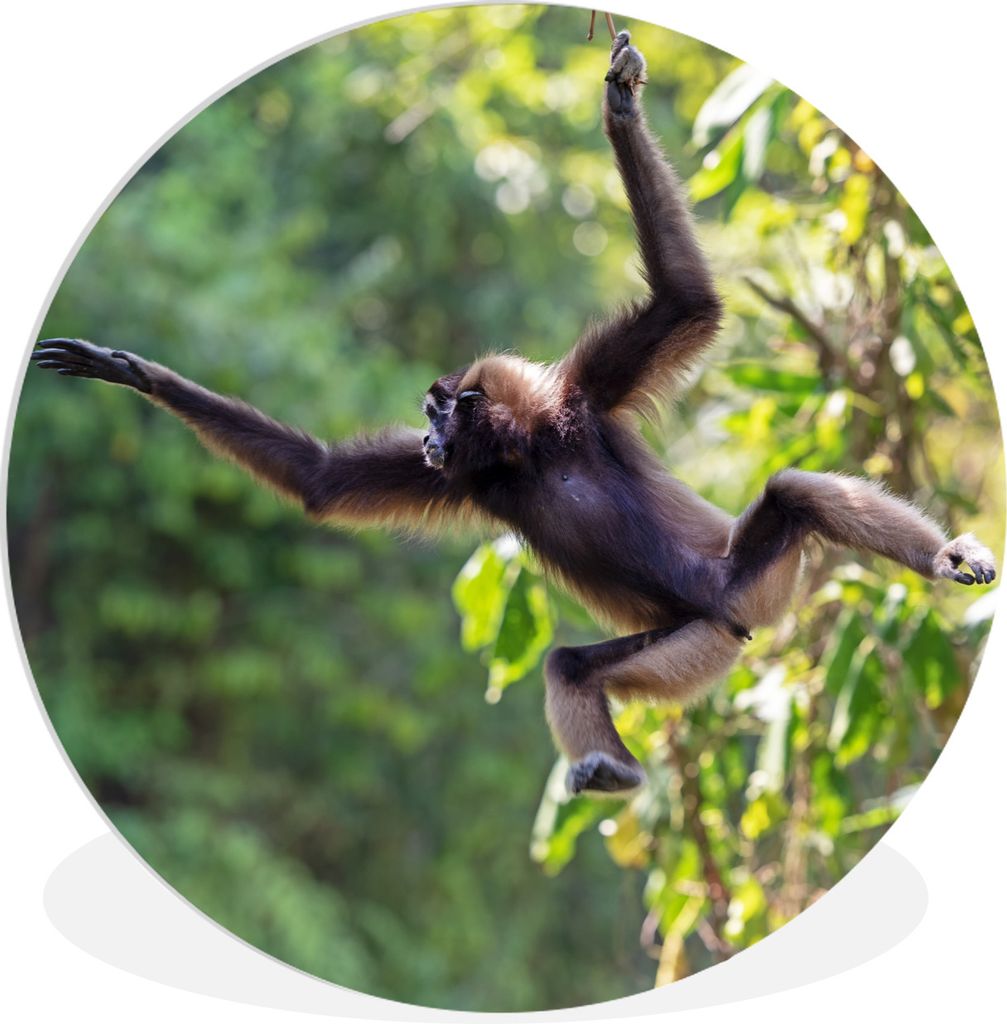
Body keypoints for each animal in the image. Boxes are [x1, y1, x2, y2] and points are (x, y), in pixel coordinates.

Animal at [32, 32, 996, 796]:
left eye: (435, 415)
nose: (428, 439)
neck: (526, 452)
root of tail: (734, 616)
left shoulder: (582, 402)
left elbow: (686, 304)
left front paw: (618, 109)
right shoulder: (473, 480)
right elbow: (321, 483)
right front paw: (130, 373)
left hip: (737, 587)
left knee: (790, 496)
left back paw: (941, 557)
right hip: (692, 641)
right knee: (572, 663)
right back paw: (611, 770)